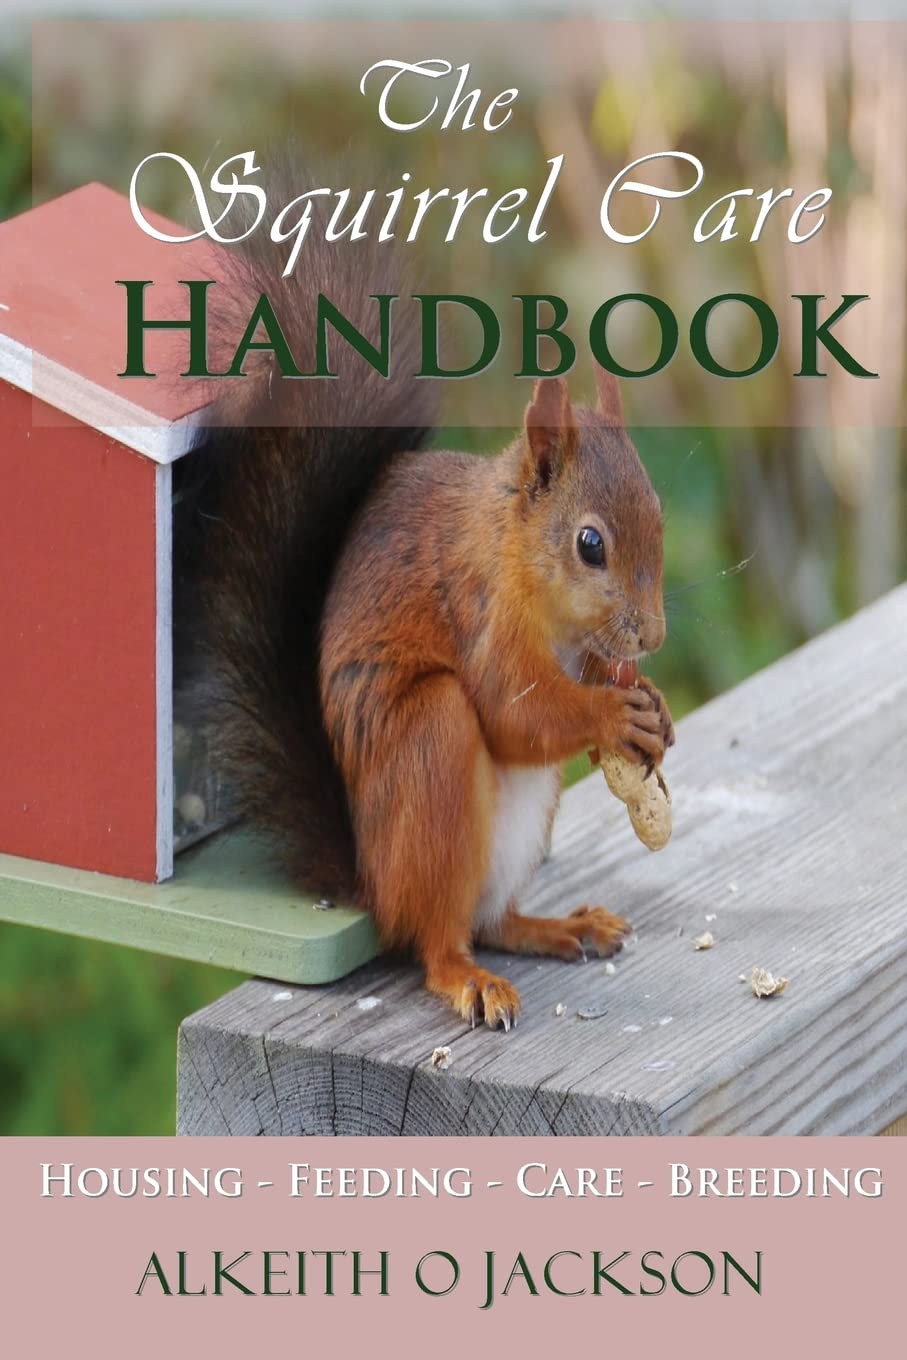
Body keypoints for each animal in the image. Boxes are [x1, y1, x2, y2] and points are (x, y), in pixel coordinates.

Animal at [173, 182, 674, 1030]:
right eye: (590, 544)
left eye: (659, 515)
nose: (653, 637)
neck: (517, 555)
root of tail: (371, 881)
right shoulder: (480, 612)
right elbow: (514, 710)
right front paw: (611, 714)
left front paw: (653, 705)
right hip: (428, 749)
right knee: (436, 938)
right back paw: (467, 977)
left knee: (492, 920)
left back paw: (558, 926)